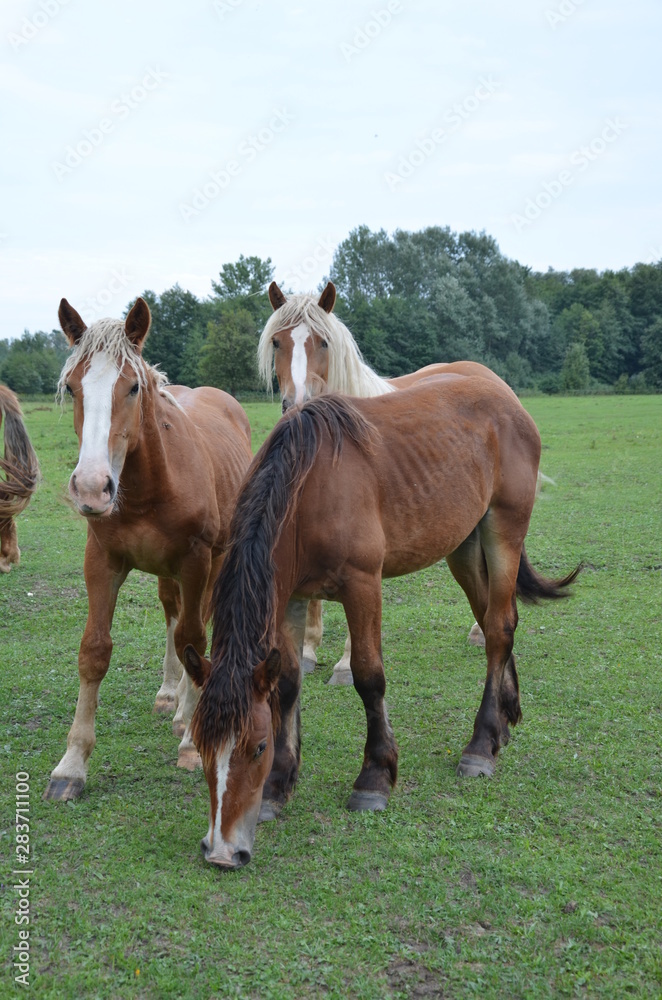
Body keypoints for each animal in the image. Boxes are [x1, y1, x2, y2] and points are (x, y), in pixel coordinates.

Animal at [43, 297, 253, 802]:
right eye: (72, 386)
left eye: (134, 387)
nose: (92, 487)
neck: (146, 487)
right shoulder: (102, 561)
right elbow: (94, 650)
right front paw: (71, 766)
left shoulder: (196, 561)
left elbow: (194, 638)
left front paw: (191, 744)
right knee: (171, 612)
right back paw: (170, 696)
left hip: (215, 560)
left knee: (197, 626)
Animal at [182, 378, 580, 868]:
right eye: (202, 744)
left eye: (256, 747)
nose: (222, 851)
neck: (309, 487)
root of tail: (506, 396)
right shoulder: (291, 596)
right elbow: (289, 683)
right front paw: (279, 785)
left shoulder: (362, 585)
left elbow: (369, 678)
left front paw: (373, 778)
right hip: (464, 546)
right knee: (493, 624)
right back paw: (502, 723)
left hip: (503, 530)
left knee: (500, 629)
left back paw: (480, 746)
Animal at [257, 281, 519, 680]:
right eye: (276, 342)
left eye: (323, 342)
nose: (296, 402)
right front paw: (308, 650)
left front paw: (346, 663)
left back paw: (479, 630)